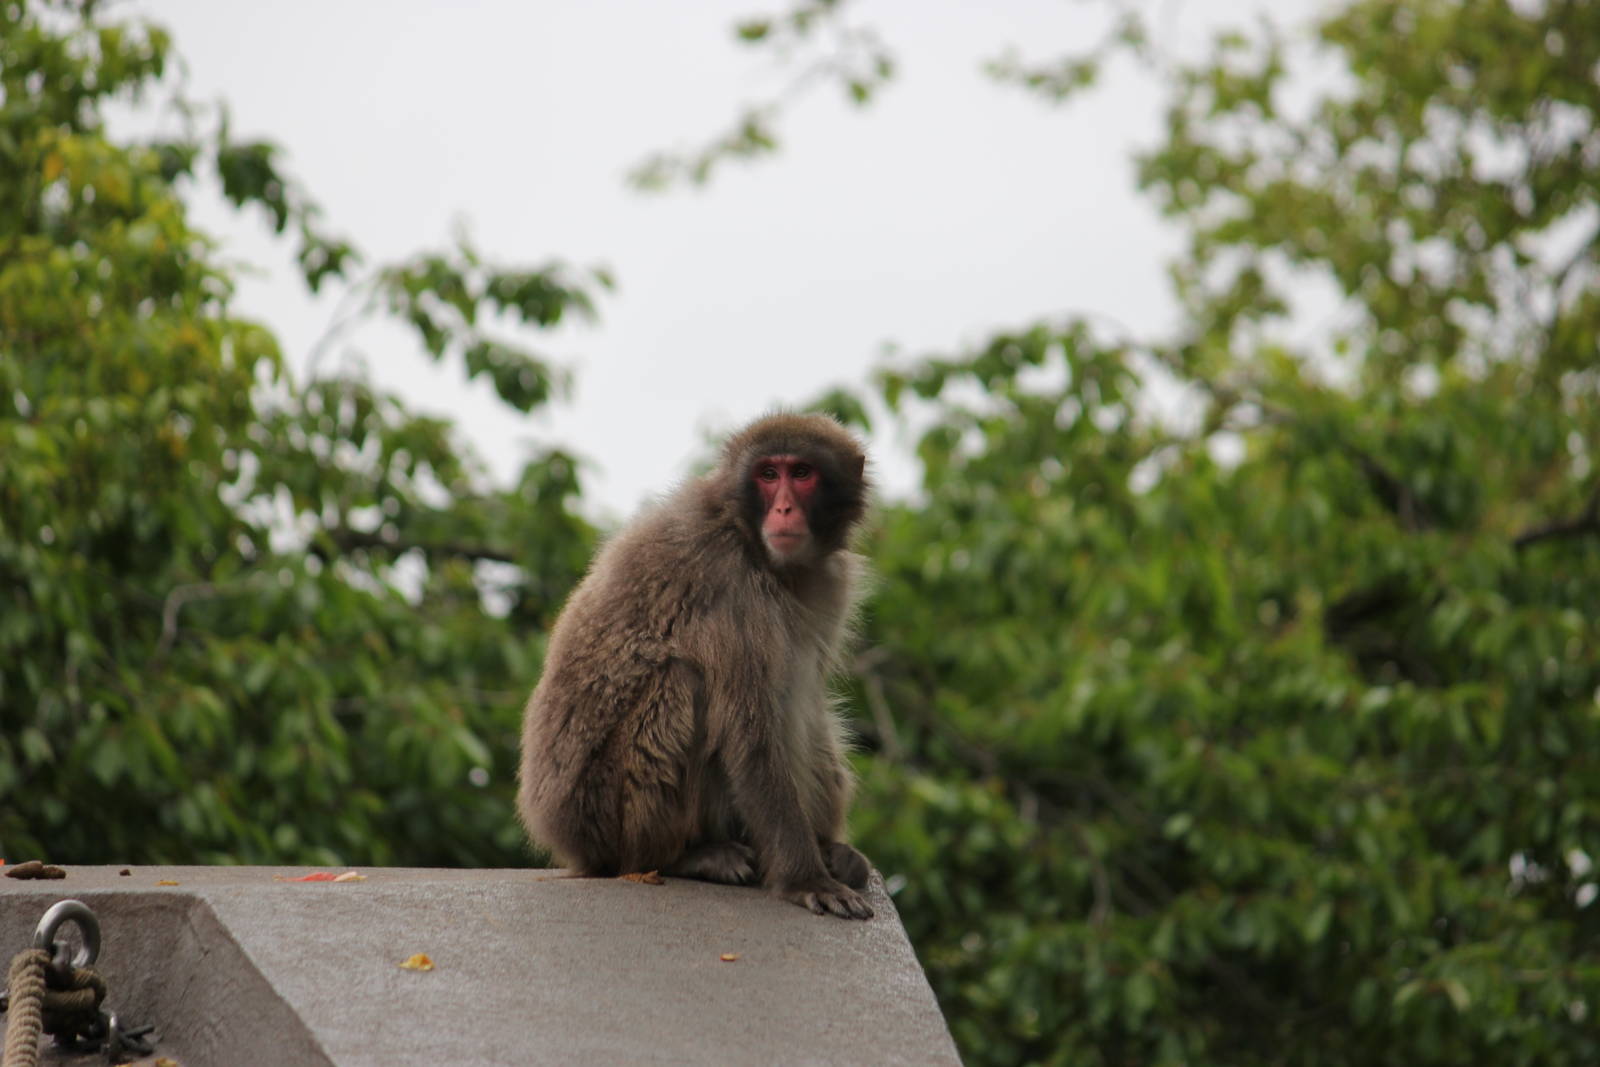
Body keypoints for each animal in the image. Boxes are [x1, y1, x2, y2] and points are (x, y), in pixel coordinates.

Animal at [516, 412, 875, 919]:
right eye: (769, 474)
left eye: (802, 473)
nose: (784, 508)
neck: (753, 543)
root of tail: (566, 841)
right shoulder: (730, 585)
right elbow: (750, 736)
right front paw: (806, 878)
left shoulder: (830, 583)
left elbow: (803, 704)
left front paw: (828, 855)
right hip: (606, 817)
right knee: (681, 679)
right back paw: (680, 857)